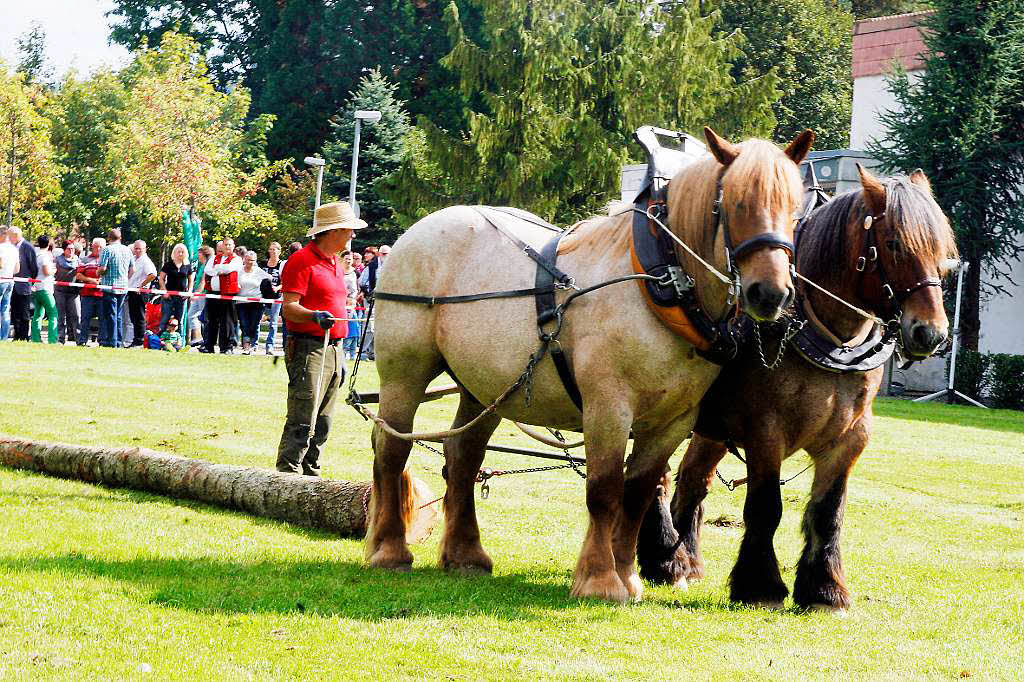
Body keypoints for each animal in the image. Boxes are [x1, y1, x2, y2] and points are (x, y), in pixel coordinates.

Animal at [364, 125, 811, 602]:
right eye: (737, 204)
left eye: (794, 208)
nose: (771, 293)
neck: (659, 283)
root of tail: (420, 229)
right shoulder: (608, 405)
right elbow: (604, 489)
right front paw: (599, 578)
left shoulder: (674, 421)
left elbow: (637, 493)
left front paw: (628, 574)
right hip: (404, 372)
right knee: (392, 448)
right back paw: (389, 549)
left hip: (484, 386)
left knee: (463, 455)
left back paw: (466, 555)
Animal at [634, 164, 954, 610]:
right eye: (893, 243)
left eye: (942, 248)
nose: (931, 333)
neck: (828, 337)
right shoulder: (766, 432)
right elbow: (766, 508)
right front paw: (760, 585)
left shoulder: (850, 438)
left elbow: (829, 511)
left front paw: (824, 588)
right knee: (658, 478)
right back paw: (665, 557)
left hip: (711, 428)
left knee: (693, 479)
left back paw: (686, 559)